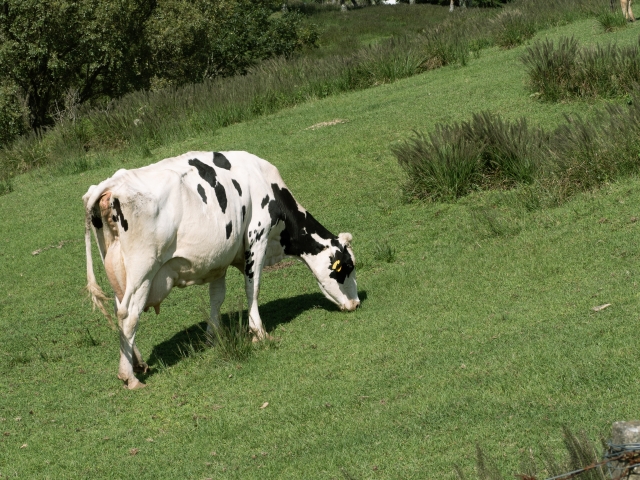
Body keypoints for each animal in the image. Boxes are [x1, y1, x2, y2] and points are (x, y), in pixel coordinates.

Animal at [84, 152, 360, 388]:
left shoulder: (220, 259)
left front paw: (213, 336)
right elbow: (253, 288)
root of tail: (112, 183)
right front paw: (259, 332)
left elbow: (217, 298)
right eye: (347, 267)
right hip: (143, 272)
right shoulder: (257, 238)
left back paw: (137, 362)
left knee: (120, 313)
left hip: (119, 275)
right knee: (130, 316)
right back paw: (129, 377)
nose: (356, 303)